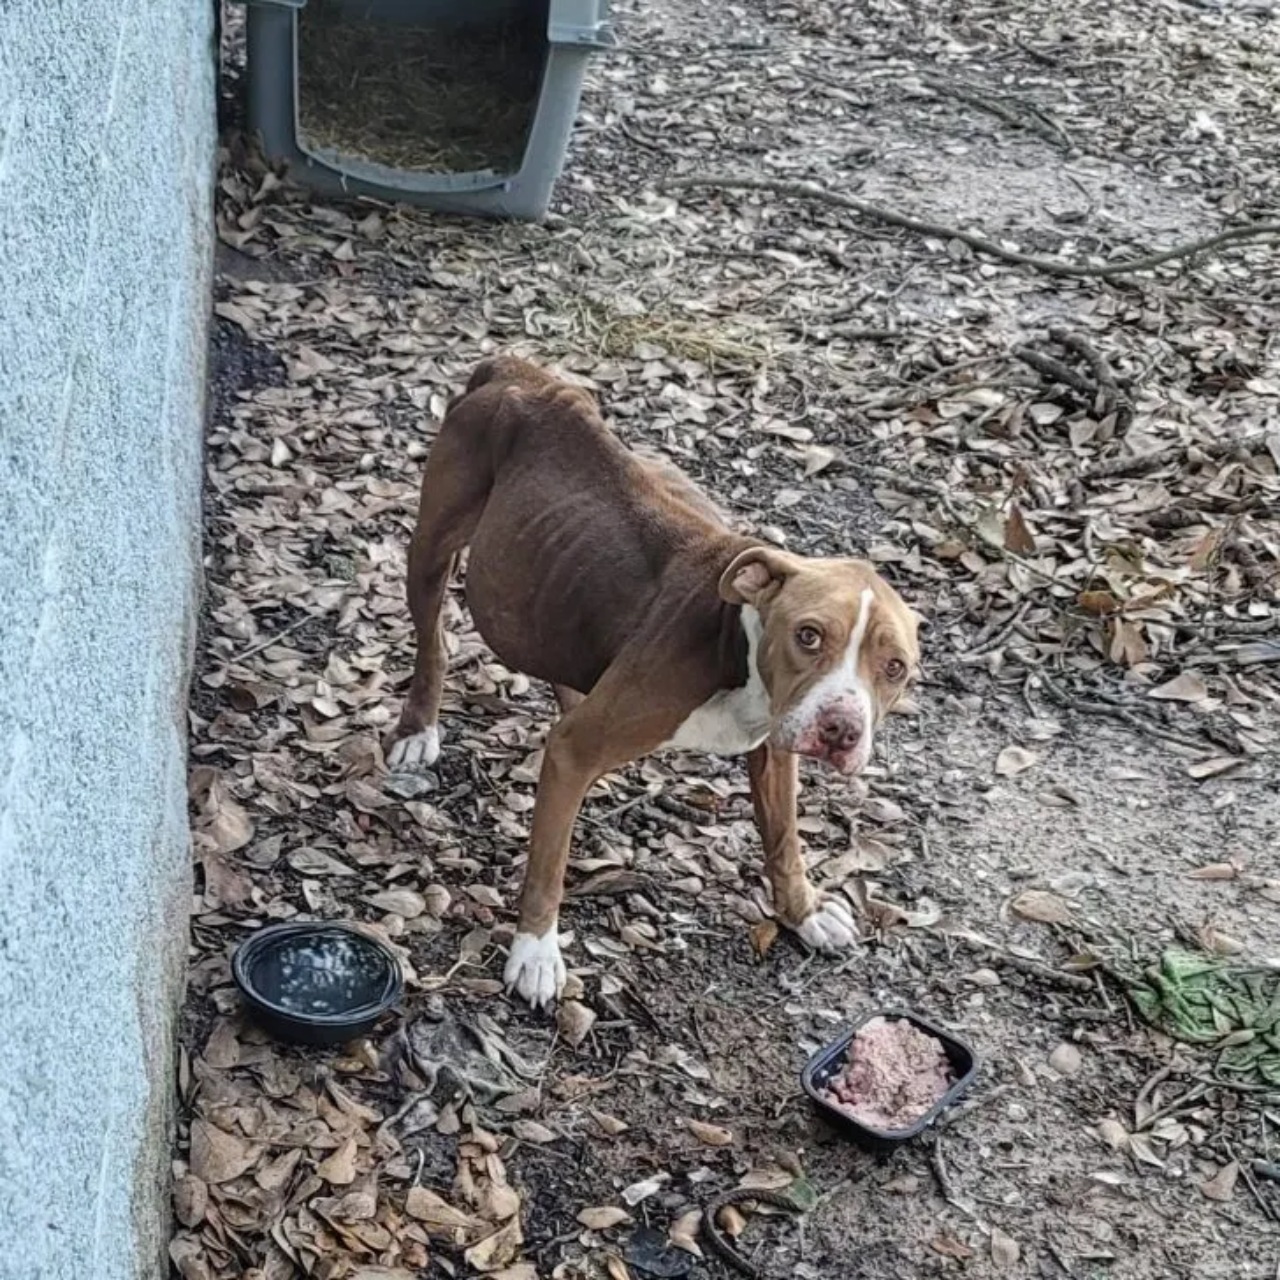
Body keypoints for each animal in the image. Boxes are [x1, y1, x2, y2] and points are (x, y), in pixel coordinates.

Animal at [386, 355, 921, 1003]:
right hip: (432, 546)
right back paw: (420, 726)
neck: (735, 644)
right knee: (434, 641)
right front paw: (536, 952)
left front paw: (805, 911)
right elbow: (549, 864)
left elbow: (785, 839)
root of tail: (520, 369)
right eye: (810, 635)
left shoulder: (775, 748)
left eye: (894, 668)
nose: (842, 728)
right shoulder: (578, 750)